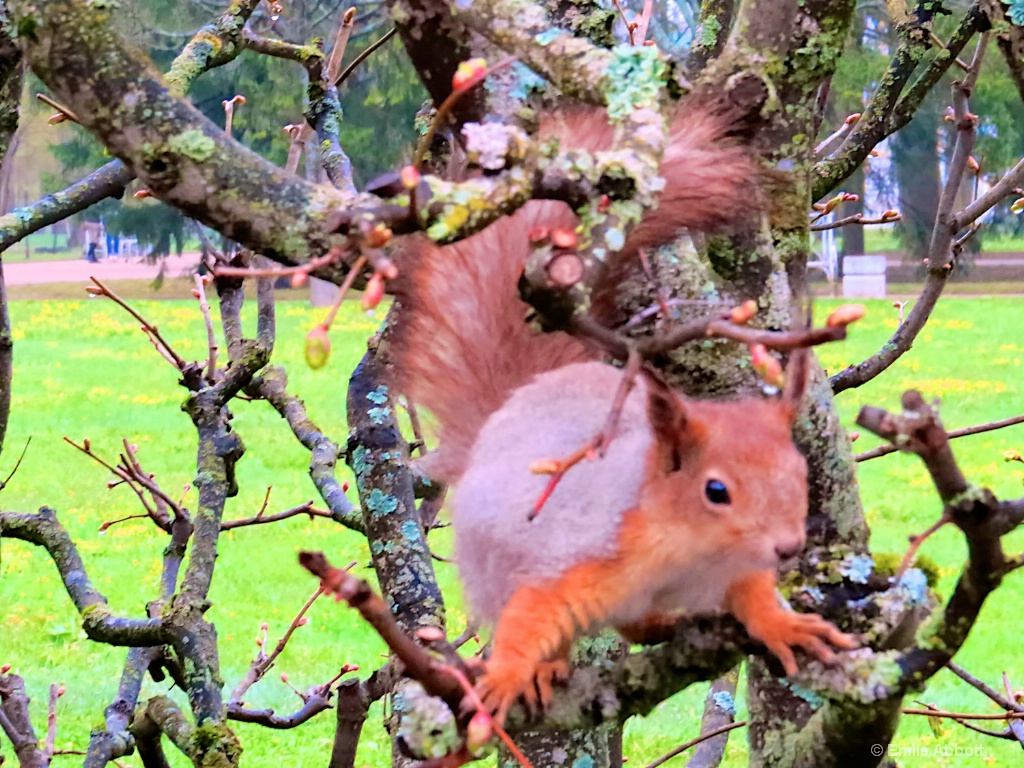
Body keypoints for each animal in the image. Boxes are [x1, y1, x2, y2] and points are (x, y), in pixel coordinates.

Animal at [391, 94, 856, 720]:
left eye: (800, 474)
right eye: (715, 491)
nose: (788, 547)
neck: (690, 551)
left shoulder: (736, 566)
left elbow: (752, 593)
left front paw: (781, 624)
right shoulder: (578, 554)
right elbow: (532, 614)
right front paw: (511, 672)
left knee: (636, 625)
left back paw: (660, 623)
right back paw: (551, 667)